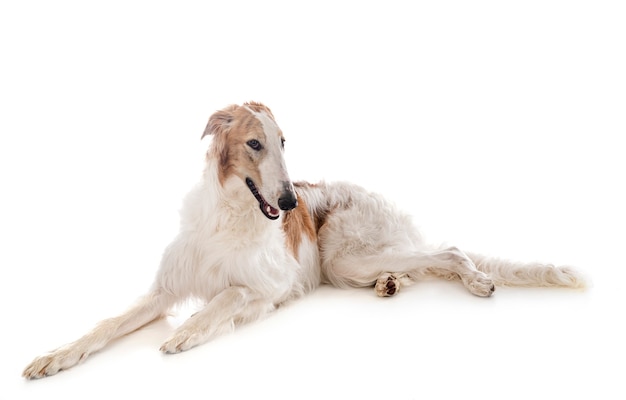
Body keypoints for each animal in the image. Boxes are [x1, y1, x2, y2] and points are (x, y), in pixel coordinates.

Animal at [20, 100, 584, 378]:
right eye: (254, 143)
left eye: (285, 142)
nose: (291, 203)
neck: (230, 213)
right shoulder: (163, 291)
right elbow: (104, 325)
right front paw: (54, 356)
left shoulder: (268, 287)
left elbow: (226, 295)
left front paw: (187, 333)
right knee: (420, 265)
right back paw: (392, 283)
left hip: (342, 254)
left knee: (448, 250)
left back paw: (476, 280)